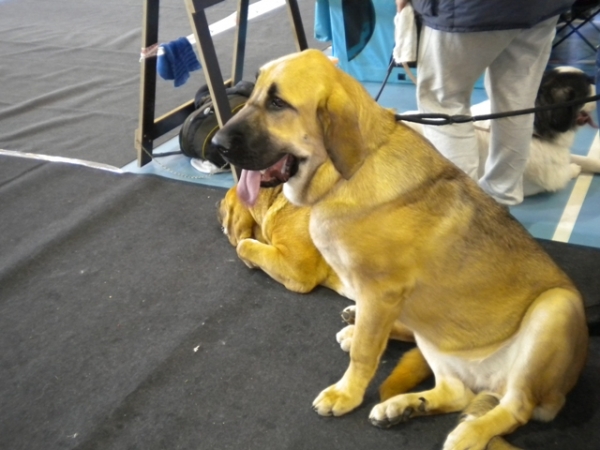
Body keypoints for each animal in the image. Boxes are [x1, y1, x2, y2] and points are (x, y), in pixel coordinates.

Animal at [406, 65, 596, 197]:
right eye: (587, 87)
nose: (595, 79)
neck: (536, 129)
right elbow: (563, 174)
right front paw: (574, 169)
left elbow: (583, 159)